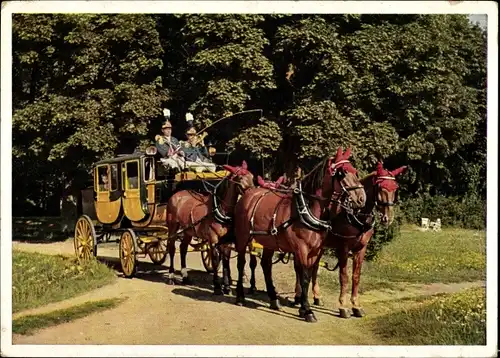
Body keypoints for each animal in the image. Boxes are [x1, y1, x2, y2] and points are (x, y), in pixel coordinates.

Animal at [166, 161, 254, 296]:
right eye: (240, 178)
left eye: (252, 176)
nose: (253, 193)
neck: (220, 210)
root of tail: (176, 195)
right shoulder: (213, 240)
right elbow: (216, 260)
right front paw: (217, 287)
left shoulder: (227, 241)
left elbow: (226, 262)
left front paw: (227, 287)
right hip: (173, 226)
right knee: (171, 248)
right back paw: (171, 276)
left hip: (188, 230)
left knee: (183, 248)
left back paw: (185, 276)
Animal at [232, 147, 366, 324]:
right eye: (342, 173)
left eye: (355, 171)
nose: (361, 198)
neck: (306, 209)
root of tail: (247, 194)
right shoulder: (301, 249)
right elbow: (304, 277)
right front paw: (307, 310)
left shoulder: (315, 251)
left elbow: (307, 277)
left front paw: (303, 307)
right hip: (243, 237)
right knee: (241, 263)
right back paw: (240, 296)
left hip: (269, 241)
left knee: (266, 265)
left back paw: (273, 299)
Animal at [292, 161, 406, 318]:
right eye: (381, 187)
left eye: (395, 188)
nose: (387, 218)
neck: (355, 215)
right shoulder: (343, 248)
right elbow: (344, 277)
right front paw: (343, 306)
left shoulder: (361, 249)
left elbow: (356, 277)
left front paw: (356, 305)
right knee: (298, 268)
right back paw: (298, 296)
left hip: (319, 247)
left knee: (313, 268)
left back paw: (317, 296)